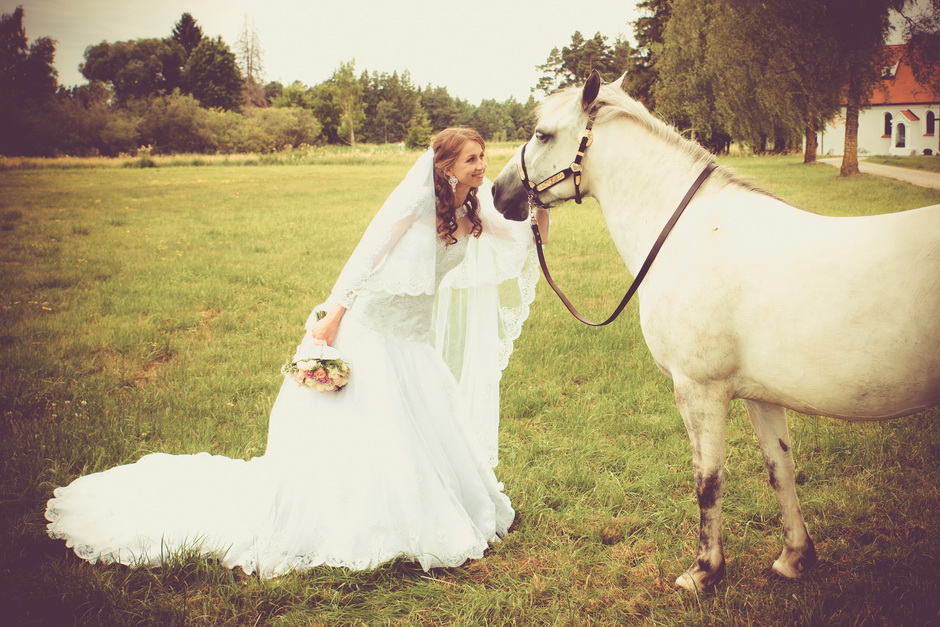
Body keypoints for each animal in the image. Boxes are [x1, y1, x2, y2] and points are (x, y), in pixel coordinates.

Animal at [492, 72, 940, 592]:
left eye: (542, 134)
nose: (498, 194)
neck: (691, 234)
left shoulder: (699, 390)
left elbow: (708, 480)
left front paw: (704, 571)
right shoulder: (761, 396)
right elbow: (780, 469)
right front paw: (794, 558)